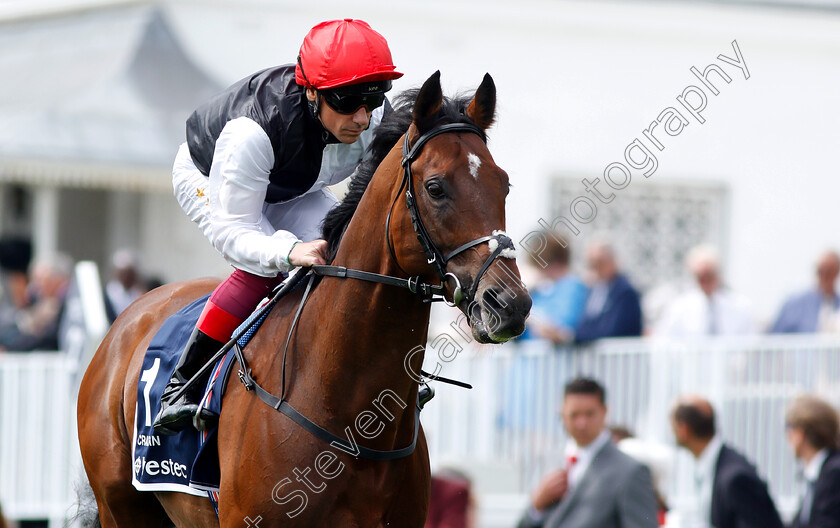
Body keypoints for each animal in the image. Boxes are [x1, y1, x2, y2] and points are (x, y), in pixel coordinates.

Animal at [77, 71, 532, 528]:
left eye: (505, 184)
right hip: (120, 506)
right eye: (435, 188)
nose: (509, 304)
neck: (349, 415)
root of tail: (128, 319)